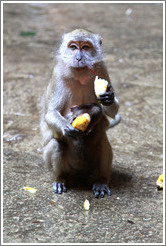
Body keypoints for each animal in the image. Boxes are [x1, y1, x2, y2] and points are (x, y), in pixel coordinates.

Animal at [40, 28, 120, 198]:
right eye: (73, 47)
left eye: (85, 47)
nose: (78, 58)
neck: (80, 73)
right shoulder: (58, 73)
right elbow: (51, 113)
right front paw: (66, 127)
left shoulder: (102, 69)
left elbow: (110, 111)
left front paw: (108, 98)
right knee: (57, 145)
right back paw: (60, 179)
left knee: (104, 144)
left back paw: (102, 181)